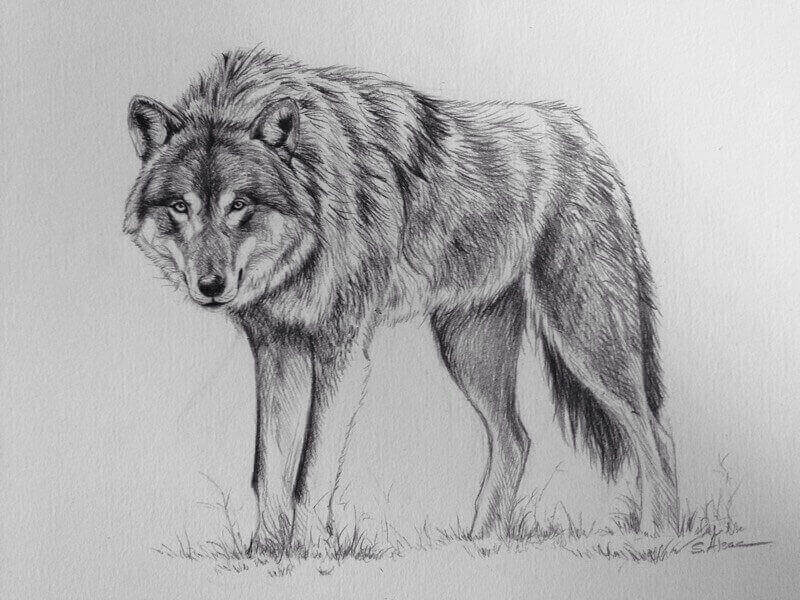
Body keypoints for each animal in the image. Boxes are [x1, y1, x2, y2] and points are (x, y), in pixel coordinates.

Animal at [125, 48, 678, 551]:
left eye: (238, 204)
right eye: (180, 207)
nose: (210, 285)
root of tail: (583, 134)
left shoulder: (341, 354)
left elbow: (309, 472)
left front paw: (311, 552)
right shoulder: (277, 350)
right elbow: (269, 469)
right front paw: (266, 553)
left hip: (586, 340)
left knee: (655, 432)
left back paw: (656, 535)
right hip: (468, 352)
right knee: (516, 439)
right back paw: (482, 542)